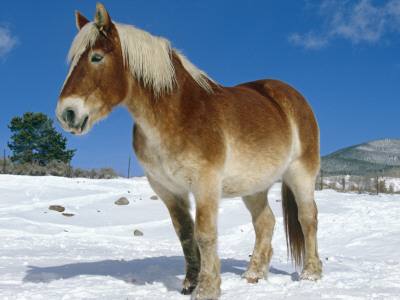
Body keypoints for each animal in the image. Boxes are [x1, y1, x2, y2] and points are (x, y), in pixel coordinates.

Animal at [56, 2, 322, 300]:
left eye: (97, 57)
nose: (66, 114)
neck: (178, 114)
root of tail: (290, 95)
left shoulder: (205, 183)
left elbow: (205, 234)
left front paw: (206, 288)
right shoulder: (168, 190)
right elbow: (185, 234)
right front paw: (189, 283)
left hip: (301, 173)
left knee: (307, 218)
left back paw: (310, 274)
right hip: (254, 186)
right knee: (265, 222)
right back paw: (253, 274)